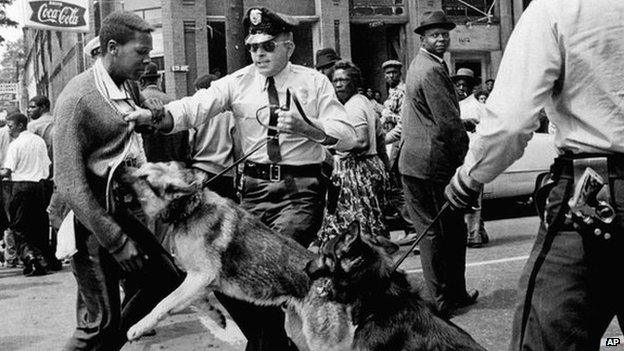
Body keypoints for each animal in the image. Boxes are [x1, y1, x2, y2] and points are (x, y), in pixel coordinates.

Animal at [117, 162, 352, 350]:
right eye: (140, 167)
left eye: (144, 178)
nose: (119, 169)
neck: (191, 208)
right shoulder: (198, 279)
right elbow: (193, 300)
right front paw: (215, 314)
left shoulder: (200, 276)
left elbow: (165, 302)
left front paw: (139, 326)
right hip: (301, 333)